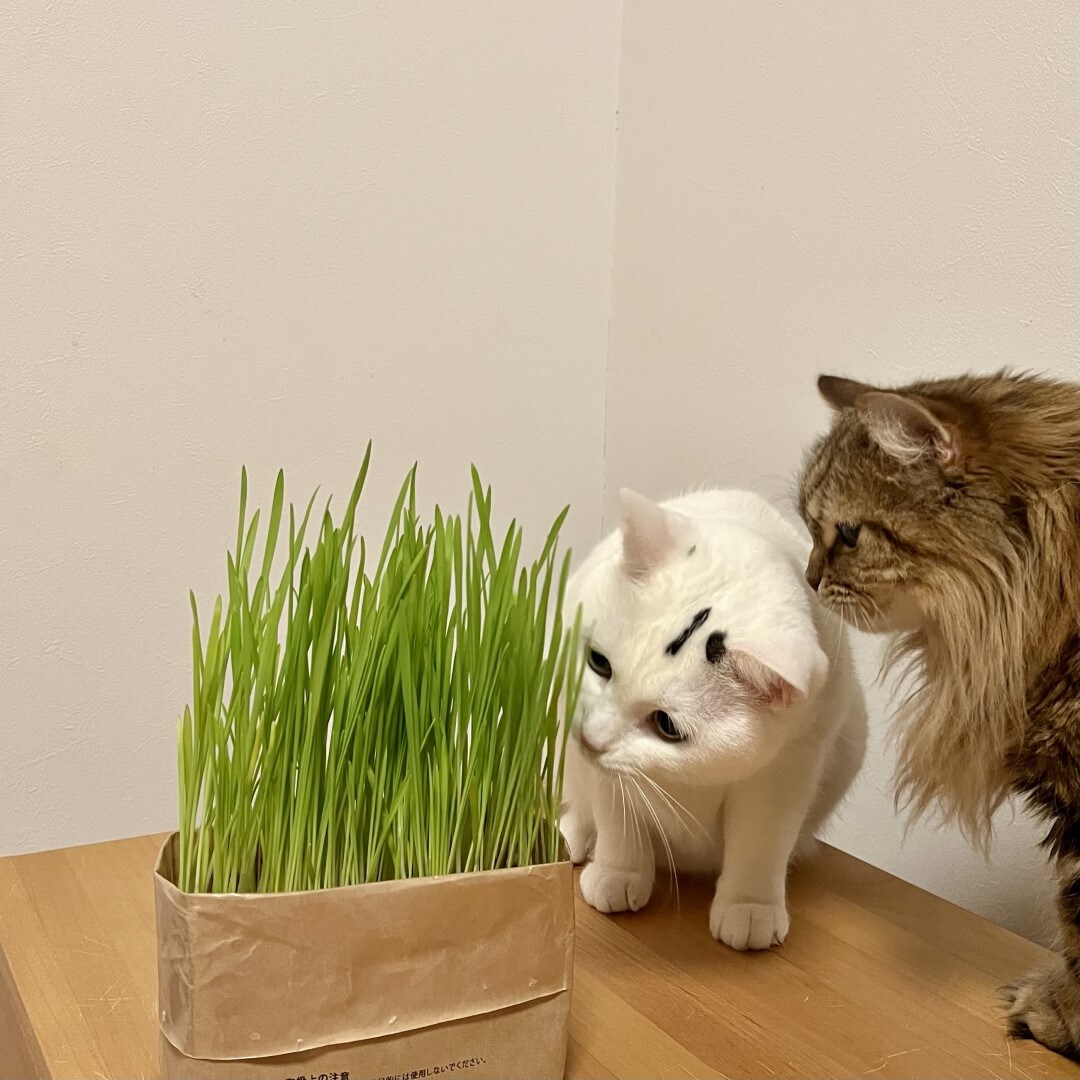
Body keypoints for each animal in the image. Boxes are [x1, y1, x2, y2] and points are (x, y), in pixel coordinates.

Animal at [560, 487, 867, 950]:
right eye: (599, 663)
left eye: (667, 725)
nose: (591, 739)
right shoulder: (606, 773)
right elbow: (618, 817)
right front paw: (618, 872)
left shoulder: (789, 766)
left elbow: (761, 841)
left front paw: (750, 907)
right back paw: (577, 836)